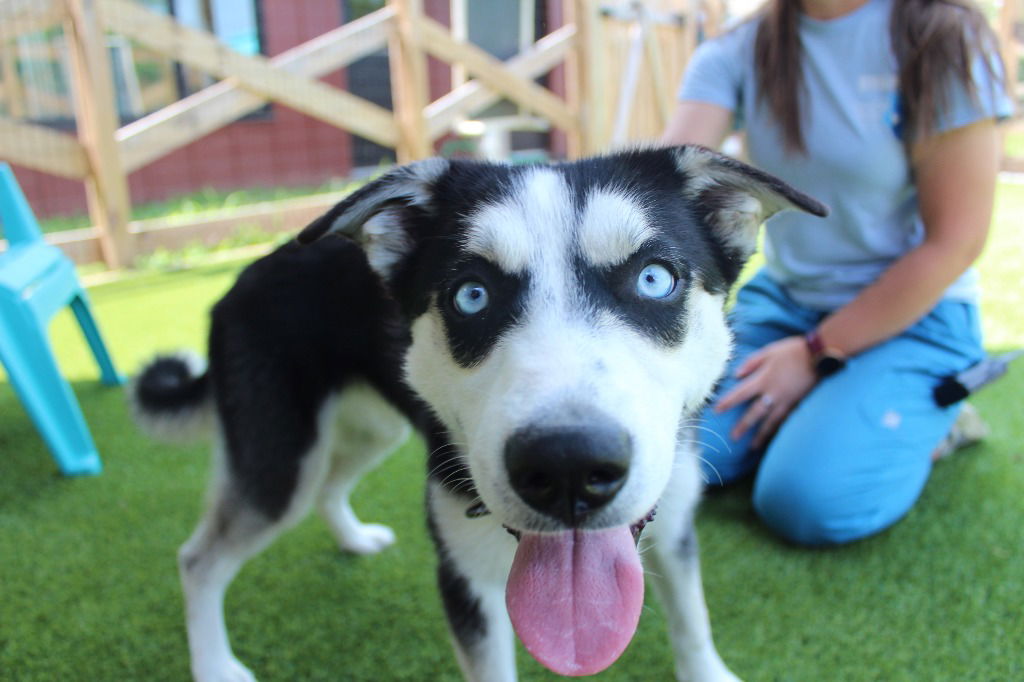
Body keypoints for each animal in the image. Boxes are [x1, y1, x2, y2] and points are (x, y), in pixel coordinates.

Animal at [132, 147, 827, 679]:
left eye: (654, 279)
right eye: (471, 295)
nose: (568, 466)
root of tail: (243, 277)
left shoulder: (676, 518)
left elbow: (692, 619)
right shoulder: (465, 580)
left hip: (372, 430)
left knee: (330, 485)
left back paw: (353, 538)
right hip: (281, 461)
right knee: (198, 560)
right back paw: (214, 665)